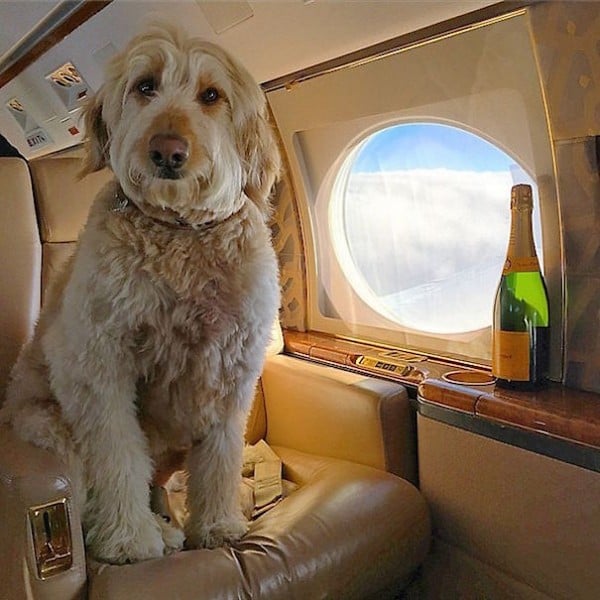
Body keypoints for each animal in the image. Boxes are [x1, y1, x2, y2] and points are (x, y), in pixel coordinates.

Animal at [0, 23, 282, 564]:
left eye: (211, 95)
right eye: (145, 85)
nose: (167, 150)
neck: (181, 232)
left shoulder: (232, 371)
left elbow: (221, 457)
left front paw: (216, 525)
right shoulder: (96, 366)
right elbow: (117, 455)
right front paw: (130, 537)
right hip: (48, 426)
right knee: (88, 486)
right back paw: (154, 530)